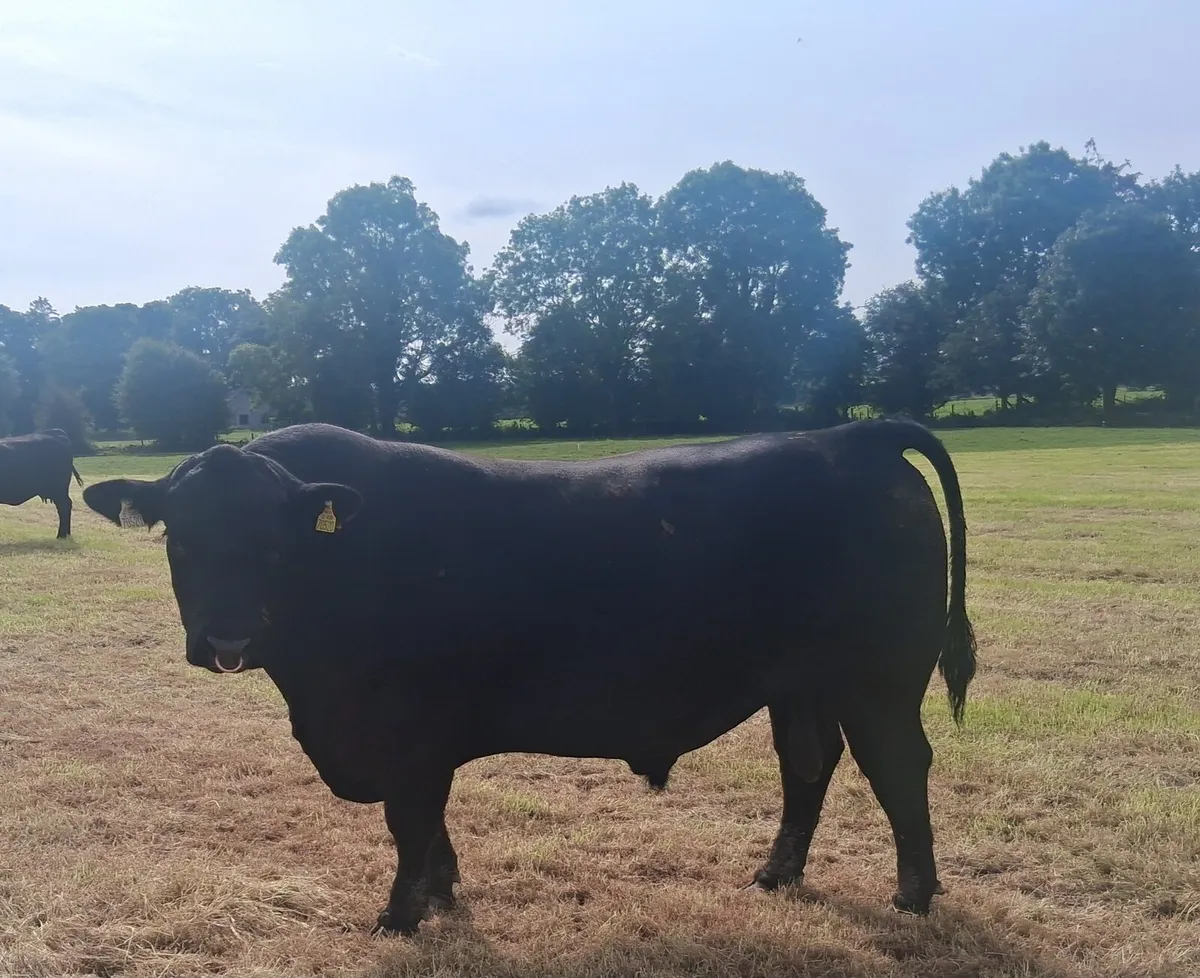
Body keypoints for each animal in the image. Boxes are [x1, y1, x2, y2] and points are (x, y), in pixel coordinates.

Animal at [82, 418, 977, 936]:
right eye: (181, 537)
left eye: (273, 543)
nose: (227, 636)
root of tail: (850, 434)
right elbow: (430, 826)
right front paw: (441, 892)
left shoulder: (411, 730)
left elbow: (410, 821)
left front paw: (399, 917)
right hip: (799, 684)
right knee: (808, 764)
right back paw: (774, 875)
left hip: (880, 680)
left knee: (897, 767)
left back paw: (913, 894)